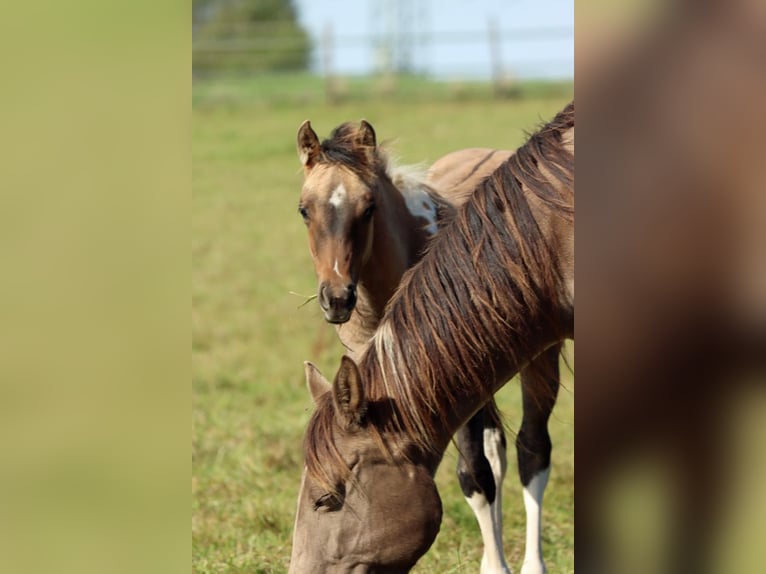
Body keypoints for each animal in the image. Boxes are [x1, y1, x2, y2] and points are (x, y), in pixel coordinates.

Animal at [289, 101, 574, 573]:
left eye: (326, 499)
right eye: (304, 210)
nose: (336, 298)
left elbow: (479, 472)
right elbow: (479, 471)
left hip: (538, 359)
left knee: (530, 450)